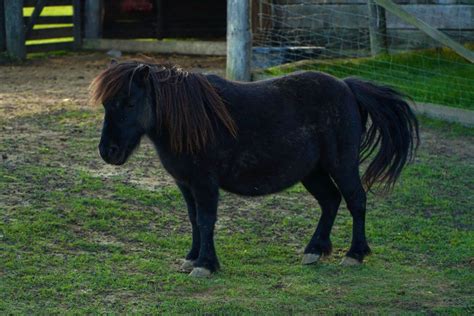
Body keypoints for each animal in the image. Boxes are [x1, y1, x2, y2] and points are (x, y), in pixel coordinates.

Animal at [90, 60, 416, 278]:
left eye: (129, 103)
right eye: (106, 104)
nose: (109, 152)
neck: (194, 120)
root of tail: (347, 87)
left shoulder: (205, 183)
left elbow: (206, 220)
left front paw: (205, 265)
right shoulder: (186, 184)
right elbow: (193, 220)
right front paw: (192, 258)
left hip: (341, 164)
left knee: (355, 201)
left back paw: (354, 254)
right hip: (313, 172)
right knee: (330, 201)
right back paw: (314, 250)